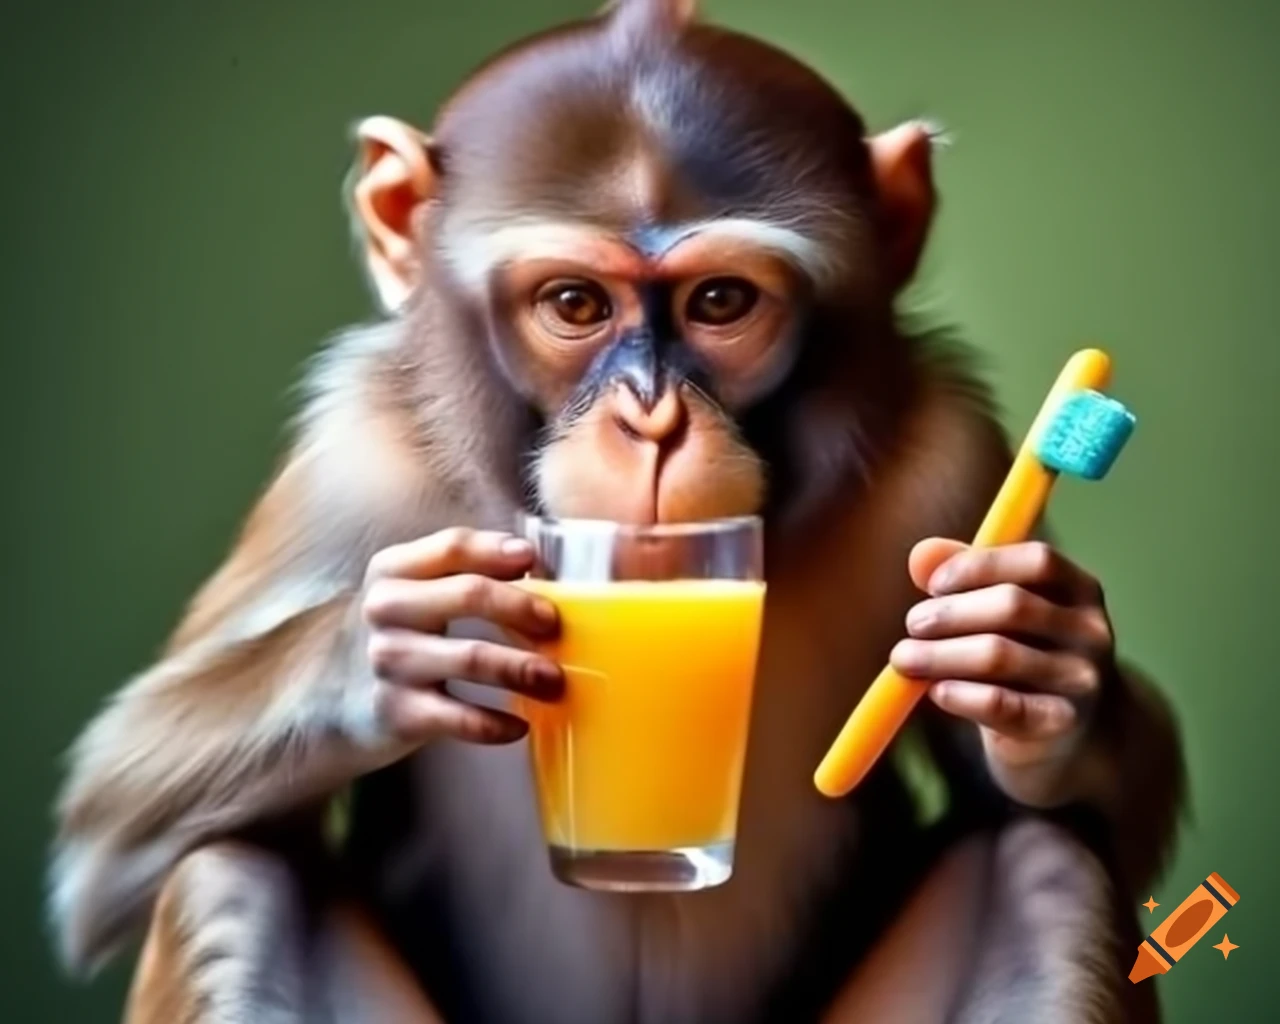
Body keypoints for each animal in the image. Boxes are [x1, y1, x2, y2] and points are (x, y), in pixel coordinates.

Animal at [47, 1, 1186, 1022]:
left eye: (720, 302)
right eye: (574, 305)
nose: (651, 419)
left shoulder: (950, 459)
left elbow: (1079, 823)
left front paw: (1040, 657)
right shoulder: (352, 459)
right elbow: (102, 833)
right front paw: (387, 651)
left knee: (1048, 864)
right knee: (230, 869)